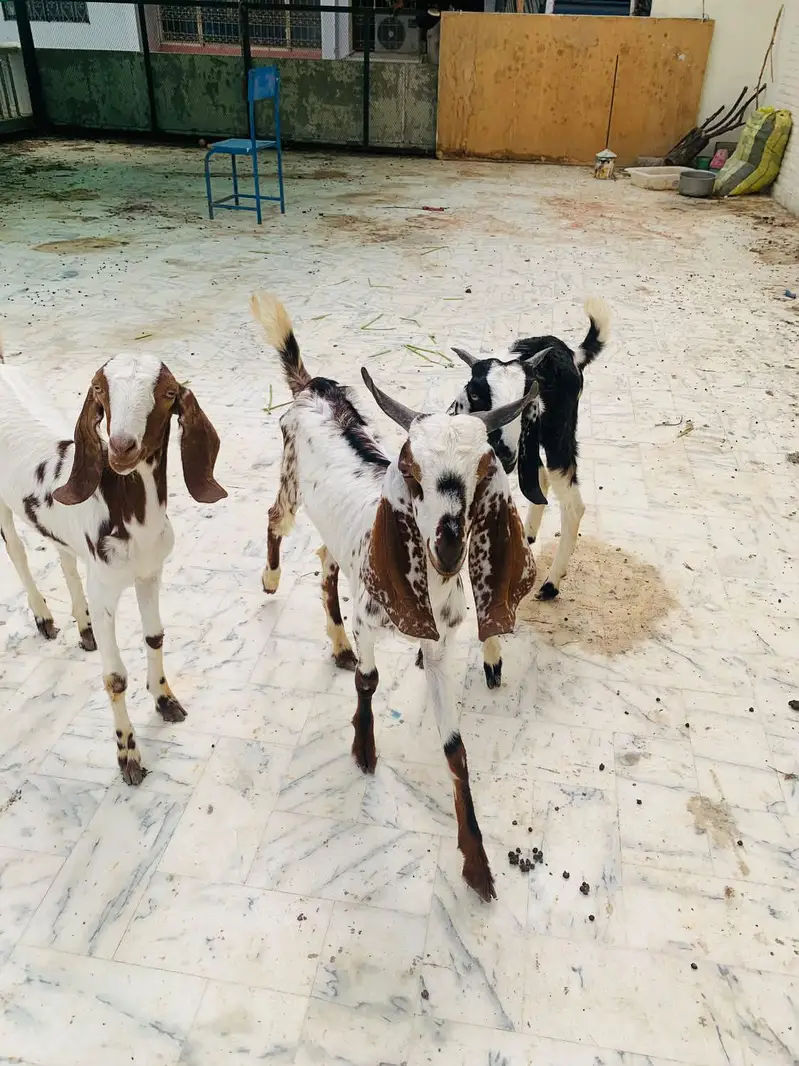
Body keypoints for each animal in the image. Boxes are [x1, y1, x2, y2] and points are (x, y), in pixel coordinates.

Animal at [0, 343, 226, 784]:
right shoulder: (106, 591)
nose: (122, 447)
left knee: (63, 556)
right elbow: (115, 678)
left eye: (169, 393)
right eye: (99, 391)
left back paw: (83, 628)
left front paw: (165, 700)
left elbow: (154, 636)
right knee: (16, 551)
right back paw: (44, 618)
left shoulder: (149, 574)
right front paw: (128, 755)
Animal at [252, 292, 536, 901]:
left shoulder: (440, 645)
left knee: (324, 564)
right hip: (289, 483)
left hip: (337, 538)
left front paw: (478, 867)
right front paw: (364, 752)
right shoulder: (370, 619)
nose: (447, 547)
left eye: (483, 471)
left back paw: (334, 642)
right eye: (410, 469)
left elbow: (455, 747)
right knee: (274, 521)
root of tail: (311, 388)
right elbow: (369, 680)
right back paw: (271, 581)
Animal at [447, 299, 610, 688]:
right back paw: (532, 532)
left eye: (525, 400)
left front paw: (492, 662)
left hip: (556, 437)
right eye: (476, 394)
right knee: (541, 483)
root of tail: (571, 353)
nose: (504, 452)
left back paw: (551, 584)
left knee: (572, 504)